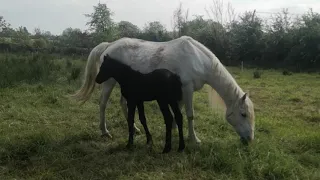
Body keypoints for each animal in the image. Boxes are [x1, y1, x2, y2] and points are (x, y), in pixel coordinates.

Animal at [72, 35, 255, 144]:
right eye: (243, 114)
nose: (249, 140)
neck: (197, 59)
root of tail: (110, 45)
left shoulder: (181, 91)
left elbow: (178, 111)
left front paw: (173, 129)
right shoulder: (187, 88)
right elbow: (190, 115)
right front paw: (194, 139)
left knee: (123, 103)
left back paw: (135, 129)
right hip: (109, 82)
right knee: (103, 104)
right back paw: (105, 131)